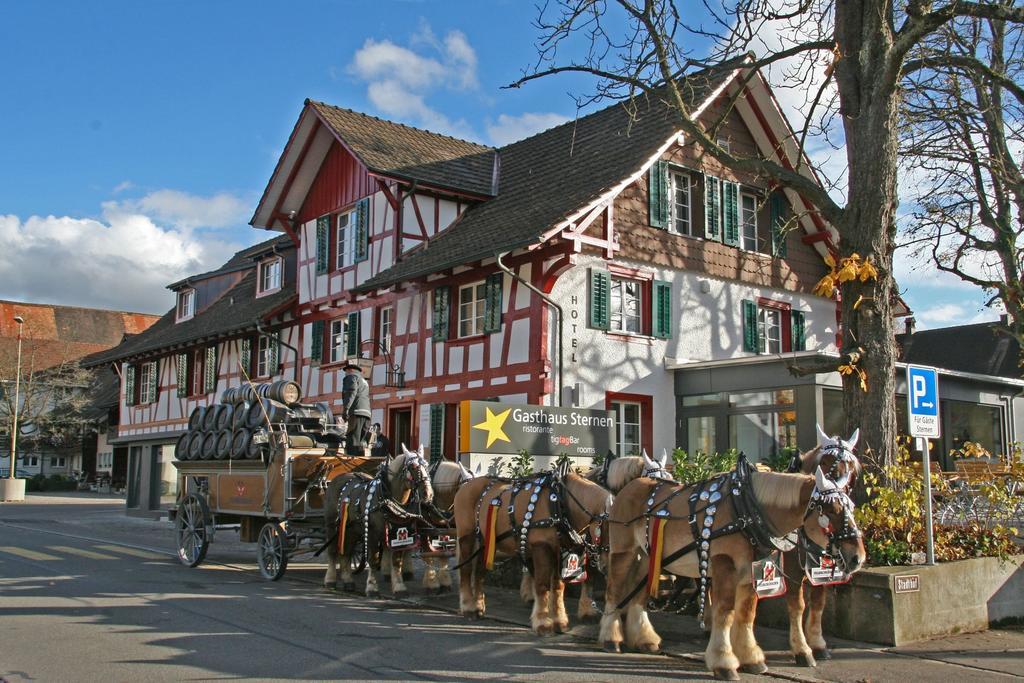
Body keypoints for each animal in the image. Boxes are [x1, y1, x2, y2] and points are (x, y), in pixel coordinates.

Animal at [458, 471, 614, 634]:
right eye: (610, 527)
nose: (607, 567)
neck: (559, 502)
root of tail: (466, 484)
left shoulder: (559, 550)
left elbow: (558, 587)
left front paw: (559, 621)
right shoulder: (541, 547)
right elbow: (542, 585)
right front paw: (543, 623)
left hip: (485, 541)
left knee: (479, 573)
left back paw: (478, 607)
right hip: (467, 536)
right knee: (466, 569)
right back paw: (468, 607)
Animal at [598, 462, 864, 679]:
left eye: (851, 507)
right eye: (831, 511)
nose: (857, 557)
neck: (747, 509)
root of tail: (629, 487)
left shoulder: (751, 571)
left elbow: (746, 613)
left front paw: (751, 658)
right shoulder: (724, 563)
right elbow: (725, 613)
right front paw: (724, 661)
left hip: (647, 558)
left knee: (638, 596)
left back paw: (645, 639)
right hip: (623, 551)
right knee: (613, 590)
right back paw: (611, 638)